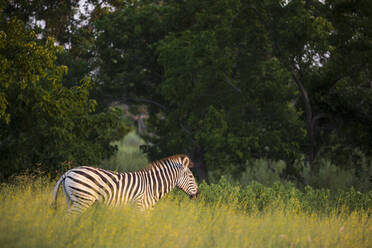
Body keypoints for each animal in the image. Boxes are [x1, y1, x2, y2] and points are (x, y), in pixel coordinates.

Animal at [51, 154, 201, 212]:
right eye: (191, 176)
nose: (198, 195)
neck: (152, 185)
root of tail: (69, 172)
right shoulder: (140, 207)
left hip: (72, 199)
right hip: (83, 200)